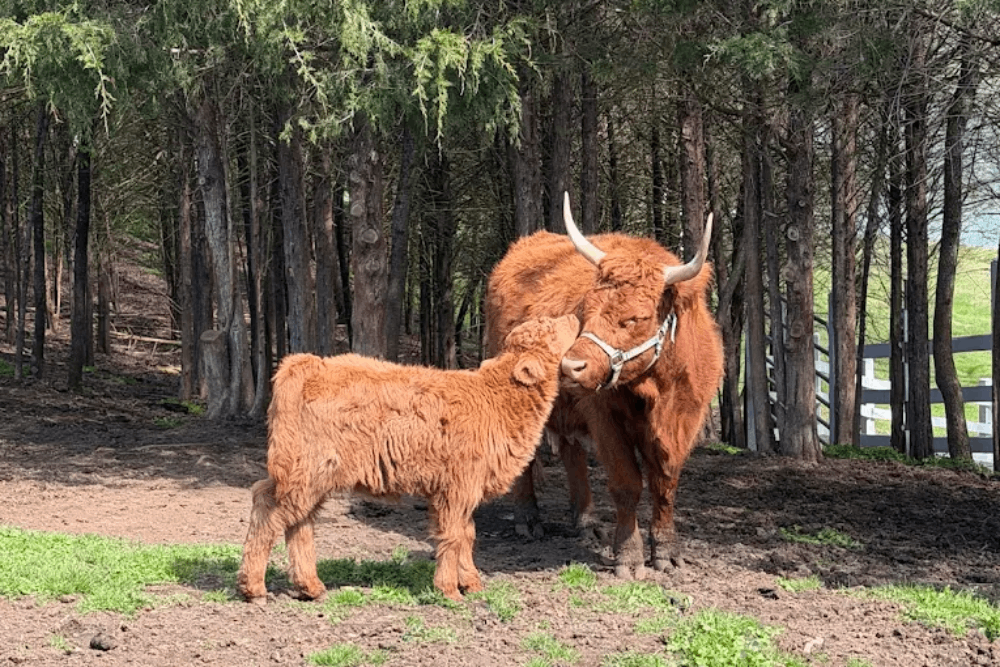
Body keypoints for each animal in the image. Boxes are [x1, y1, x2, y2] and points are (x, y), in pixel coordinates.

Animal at [237, 314, 580, 602]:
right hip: (308, 469)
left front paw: (471, 584)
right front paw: (449, 591)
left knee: (294, 518)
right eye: (551, 329)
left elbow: (466, 534)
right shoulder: (457, 488)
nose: (573, 316)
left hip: (308, 474)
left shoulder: (462, 490)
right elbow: (452, 535)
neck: (499, 400)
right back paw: (254, 588)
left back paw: (310, 587)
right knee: (271, 513)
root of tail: (310, 364)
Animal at [485, 193, 723, 579]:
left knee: (572, 451)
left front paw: (667, 552)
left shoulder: (685, 420)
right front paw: (628, 557)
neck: (656, 391)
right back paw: (528, 520)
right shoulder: (605, 419)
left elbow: (665, 483)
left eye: (637, 318)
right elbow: (627, 483)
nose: (570, 365)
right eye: (586, 306)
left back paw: (584, 520)